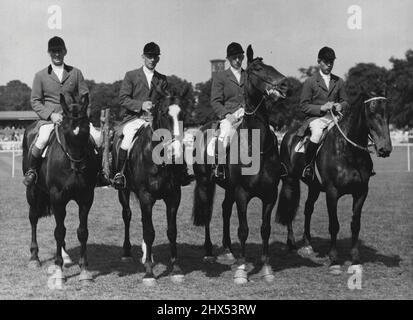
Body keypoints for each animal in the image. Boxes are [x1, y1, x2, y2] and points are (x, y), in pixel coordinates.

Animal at [23, 94, 98, 288]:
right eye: (65, 129)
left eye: (87, 129)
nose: (79, 166)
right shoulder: (57, 198)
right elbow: (58, 232)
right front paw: (58, 271)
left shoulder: (86, 198)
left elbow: (82, 231)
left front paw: (84, 271)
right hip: (32, 192)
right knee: (33, 219)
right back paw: (34, 258)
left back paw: (65, 256)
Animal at [192, 44, 288, 282]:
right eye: (257, 69)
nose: (285, 84)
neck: (256, 144)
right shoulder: (242, 193)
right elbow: (243, 229)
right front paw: (242, 272)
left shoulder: (270, 194)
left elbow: (265, 229)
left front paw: (266, 268)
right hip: (207, 184)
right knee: (208, 213)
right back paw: (210, 253)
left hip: (228, 188)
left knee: (226, 210)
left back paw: (228, 251)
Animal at [276, 87, 392, 272]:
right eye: (371, 112)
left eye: (388, 113)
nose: (385, 149)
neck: (348, 151)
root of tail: (288, 134)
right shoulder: (332, 192)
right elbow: (334, 225)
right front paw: (334, 258)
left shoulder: (361, 193)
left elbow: (355, 224)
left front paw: (355, 259)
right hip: (290, 180)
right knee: (290, 207)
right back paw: (291, 244)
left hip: (314, 187)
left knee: (308, 209)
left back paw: (307, 244)